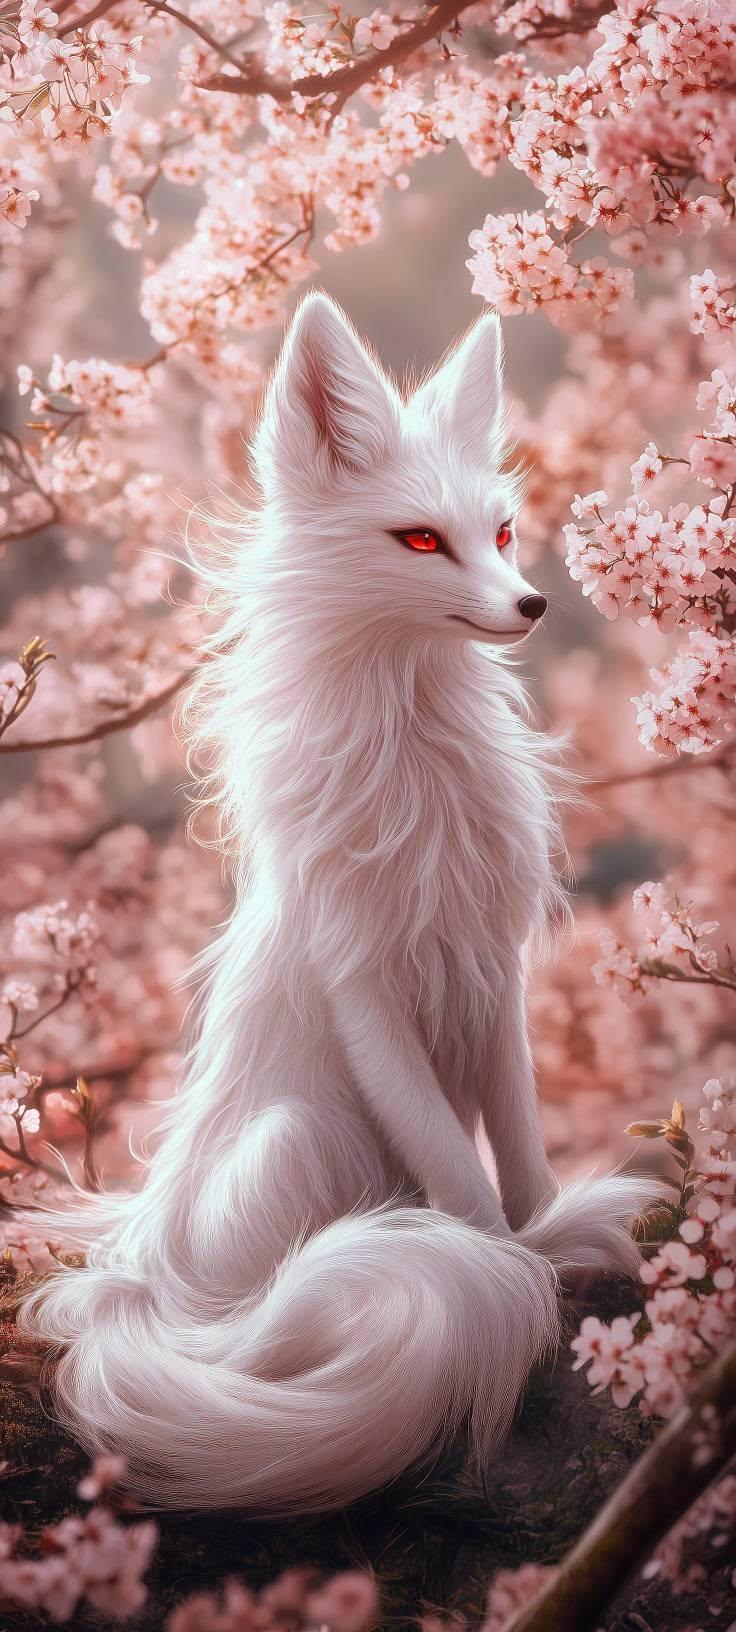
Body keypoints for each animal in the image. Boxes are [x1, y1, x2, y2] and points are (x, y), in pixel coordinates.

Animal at [20, 292, 660, 1518]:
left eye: (500, 533)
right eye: (419, 541)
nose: (531, 602)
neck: (419, 755)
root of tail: (130, 1276)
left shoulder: (492, 971)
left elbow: (521, 1154)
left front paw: (548, 1232)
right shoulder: (362, 986)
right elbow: (462, 1187)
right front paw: (514, 1269)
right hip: (297, 1136)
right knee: (248, 1326)